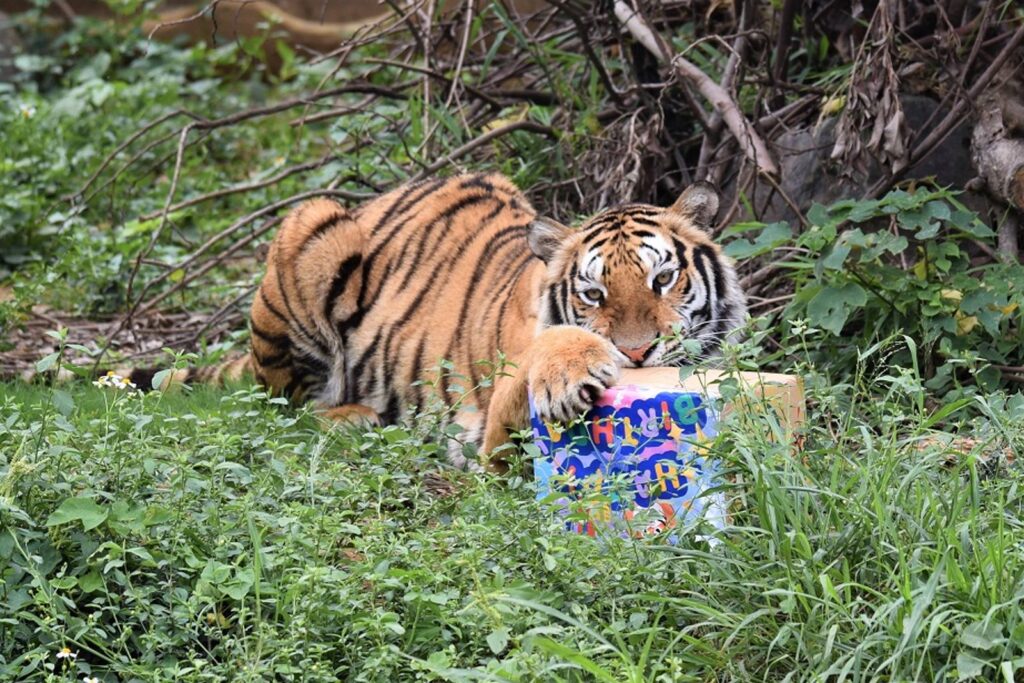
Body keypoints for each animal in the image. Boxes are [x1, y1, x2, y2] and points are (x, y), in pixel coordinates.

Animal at [137, 172, 747, 470]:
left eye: (662, 279)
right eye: (593, 295)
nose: (638, 353)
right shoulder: (494, 430)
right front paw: (571, 369)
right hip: (314, 224)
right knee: (286, 408)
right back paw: (354, 418)